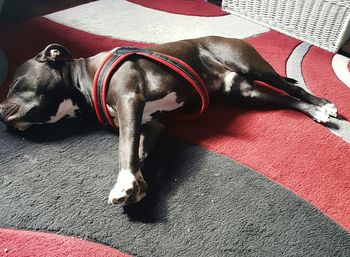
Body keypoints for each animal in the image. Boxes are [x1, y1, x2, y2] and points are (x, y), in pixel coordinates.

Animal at [0, 36, 338, 204]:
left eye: (15, 83)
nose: (0, 110)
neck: (84, 79)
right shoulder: (149, 123)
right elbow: (138, 151)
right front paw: (136, 184)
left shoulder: (129, 102)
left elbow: (125, 148)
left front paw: (124, 182)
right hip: (244, 91)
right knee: (287, 99)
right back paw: (316, 112)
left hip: (249, 65)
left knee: (291, 87)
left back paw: (323, 105)